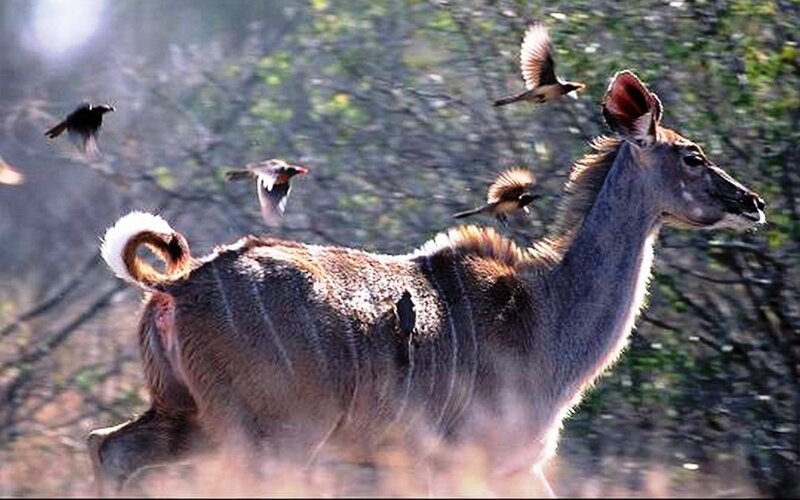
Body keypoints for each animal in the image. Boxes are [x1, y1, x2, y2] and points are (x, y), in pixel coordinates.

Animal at [88, 70, 765, 496]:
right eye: (693, 157)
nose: (752, 202)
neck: (543, 313)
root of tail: (175, 289)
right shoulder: (463, 460)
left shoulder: (510, 467)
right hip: (275, 437)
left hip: (192, 418)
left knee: (107, 447)